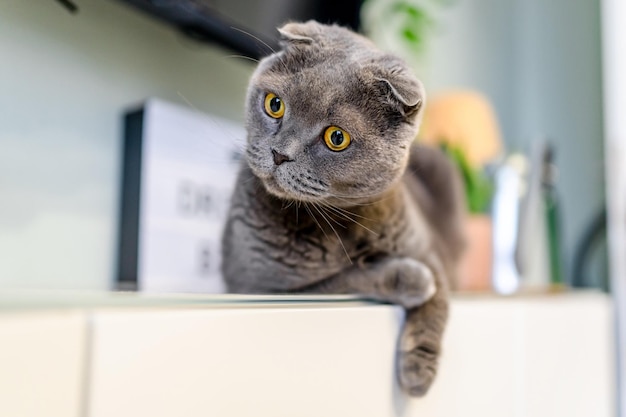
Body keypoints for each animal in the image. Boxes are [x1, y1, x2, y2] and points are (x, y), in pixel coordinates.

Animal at [221, 20, 464, 396]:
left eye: (337, 138)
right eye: (274, 105)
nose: (279, 154)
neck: (340, 225)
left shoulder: (427, 249)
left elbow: (438, 299)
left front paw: (417, 374)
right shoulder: (265, 289)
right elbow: (350, 277)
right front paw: (411, 279)